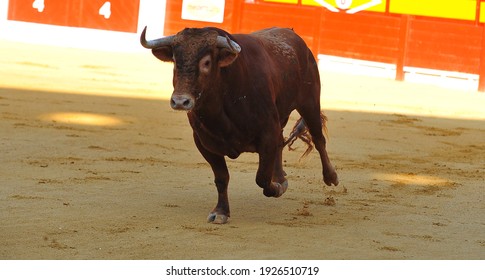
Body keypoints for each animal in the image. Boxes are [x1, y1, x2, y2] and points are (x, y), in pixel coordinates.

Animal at [140, 26, 336, 223]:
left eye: (207, 62)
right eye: (174, 61)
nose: (180, 101)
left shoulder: (268, 133)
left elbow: (262, 178)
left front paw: (276, 188)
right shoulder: (204, 143)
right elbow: (221, 178)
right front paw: (220, 212)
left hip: (310, 102)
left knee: (318, 139)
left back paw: (330, 177)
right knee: (282, 142)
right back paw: (280, 177)